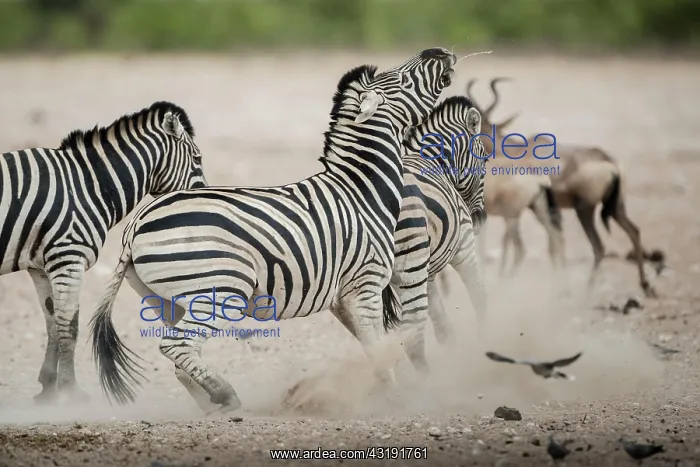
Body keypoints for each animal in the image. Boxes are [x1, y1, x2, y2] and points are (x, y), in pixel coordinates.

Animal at [0, 101, 207, 404]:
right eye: (197, 158)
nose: (201, 202)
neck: (90, 185)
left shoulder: (41, 265)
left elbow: (52, 322)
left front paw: (48, 388)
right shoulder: (68, 258)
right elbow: (68, 325)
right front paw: (71, 390)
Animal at [89, 48, 458, 412]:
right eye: (403, 79)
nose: (440, 52)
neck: (362, 190)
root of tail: (136, 223)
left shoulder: (343, 297)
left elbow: (375, 350)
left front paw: (389, 394)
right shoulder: (364, 285)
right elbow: (380, 351)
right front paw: (398, 400)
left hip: (168, 301)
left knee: (181, 359)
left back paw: (214, 405)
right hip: (219, 290)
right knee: (176, 346)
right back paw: (225, 394)